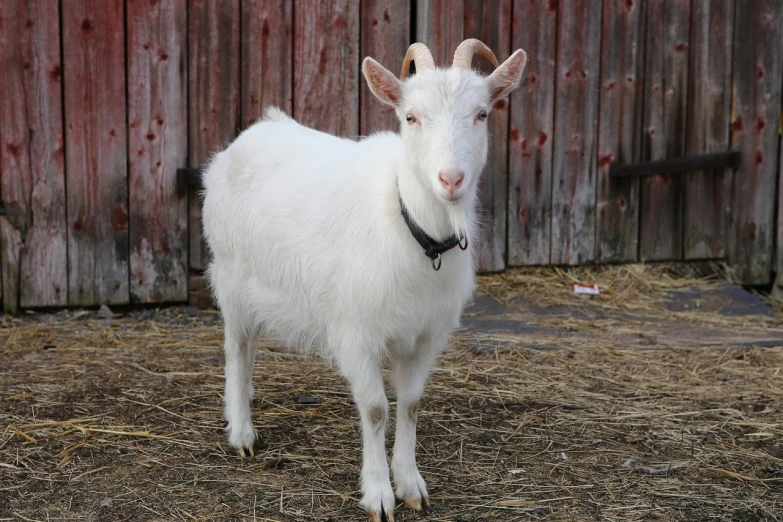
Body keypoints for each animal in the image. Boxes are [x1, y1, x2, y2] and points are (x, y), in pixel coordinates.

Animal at [204, 38, 528, 516]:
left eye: (482, 113)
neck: (410, 228)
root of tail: (257, 129)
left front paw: (411, 485)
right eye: (410, 116)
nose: (451, 179)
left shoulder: (426, 334)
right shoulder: (355, 332)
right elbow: (376, 409)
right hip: (229, 274)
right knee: (237, 350)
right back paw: (241, 432)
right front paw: (378, 495)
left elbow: (410, 404)